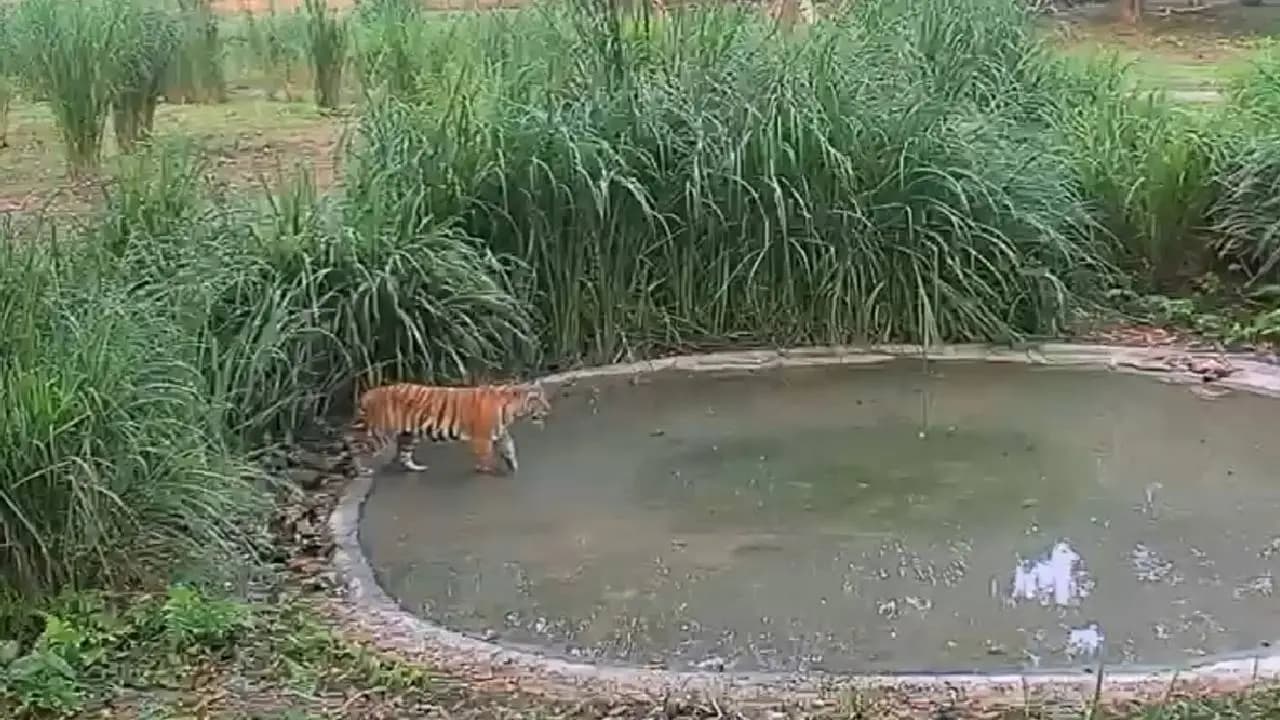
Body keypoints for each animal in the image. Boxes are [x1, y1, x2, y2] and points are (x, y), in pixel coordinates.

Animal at [342, 381, 551, 477]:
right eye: (538, 399)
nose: (548, 409)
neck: (511, 408)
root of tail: (368, 393)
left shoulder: (500, 433)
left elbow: (509, 447)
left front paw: (513, 465)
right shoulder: (483, 438)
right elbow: (486, 456)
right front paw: (487, 470)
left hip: (409, 435)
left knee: (404, 456)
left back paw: (417, 468)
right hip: (380, 434)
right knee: (353, 443)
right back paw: (361, 469)